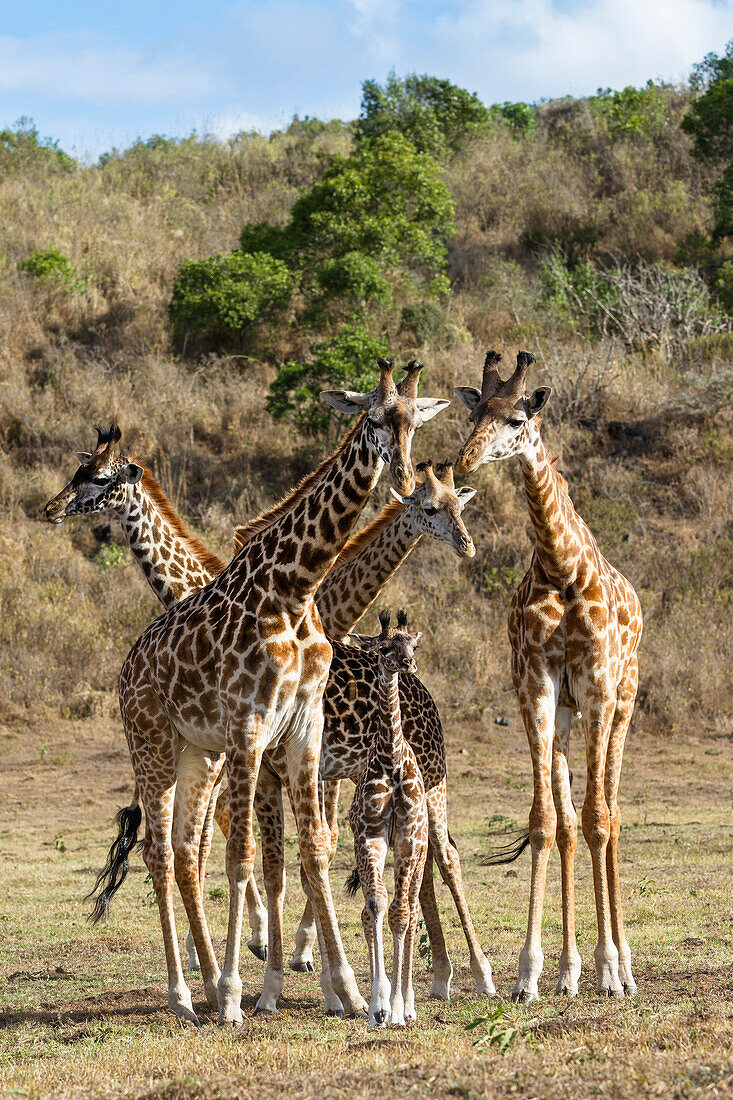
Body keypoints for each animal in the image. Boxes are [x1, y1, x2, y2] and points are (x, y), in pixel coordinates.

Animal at [117, 358, 449, 1020]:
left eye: (413, 423)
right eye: (375, 418)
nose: (402, 478)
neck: (296, 591)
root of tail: (125, 667)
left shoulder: (301, 730)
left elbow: (314, 849)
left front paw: (349, 989)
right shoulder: (249, 727)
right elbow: (245, 855)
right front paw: (236, 996)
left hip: (198, 752)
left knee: (186, 851)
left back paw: (203, 982)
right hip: (153, 746)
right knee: (159, 853)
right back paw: (185, 993)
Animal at [453, 347, 638, 1003]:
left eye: (516, 420)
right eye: (475, 412)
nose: (463, 460)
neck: (561, 566)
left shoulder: (600, 689)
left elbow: (599, 819)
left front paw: (609, 969)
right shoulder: (536, 687)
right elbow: (544, 823)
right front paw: (531, 973)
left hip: (622, 708)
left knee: (611, 813)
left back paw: (623, 966)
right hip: (565, 717)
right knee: (568, 824)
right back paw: (567, 969)